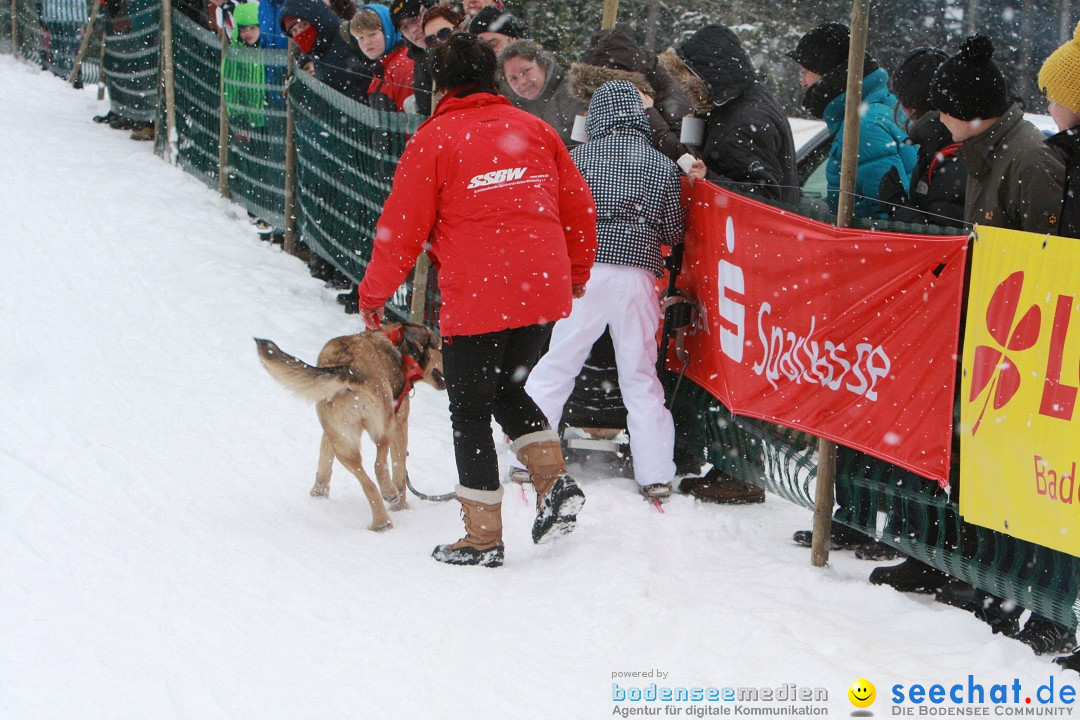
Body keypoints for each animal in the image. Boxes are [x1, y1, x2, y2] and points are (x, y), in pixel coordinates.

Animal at [254, 323, 444, 533]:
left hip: (343, 443)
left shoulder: (330, 434)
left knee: (366, 481)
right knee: (379, 465)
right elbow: (400, 472)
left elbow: (324, 461)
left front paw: (319, 493)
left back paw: (380, 521)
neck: (399, 344)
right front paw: (402, 506)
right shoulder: (401, 423)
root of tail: (349, 370)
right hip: (385, 426)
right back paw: (389, 496)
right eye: (441, 348)